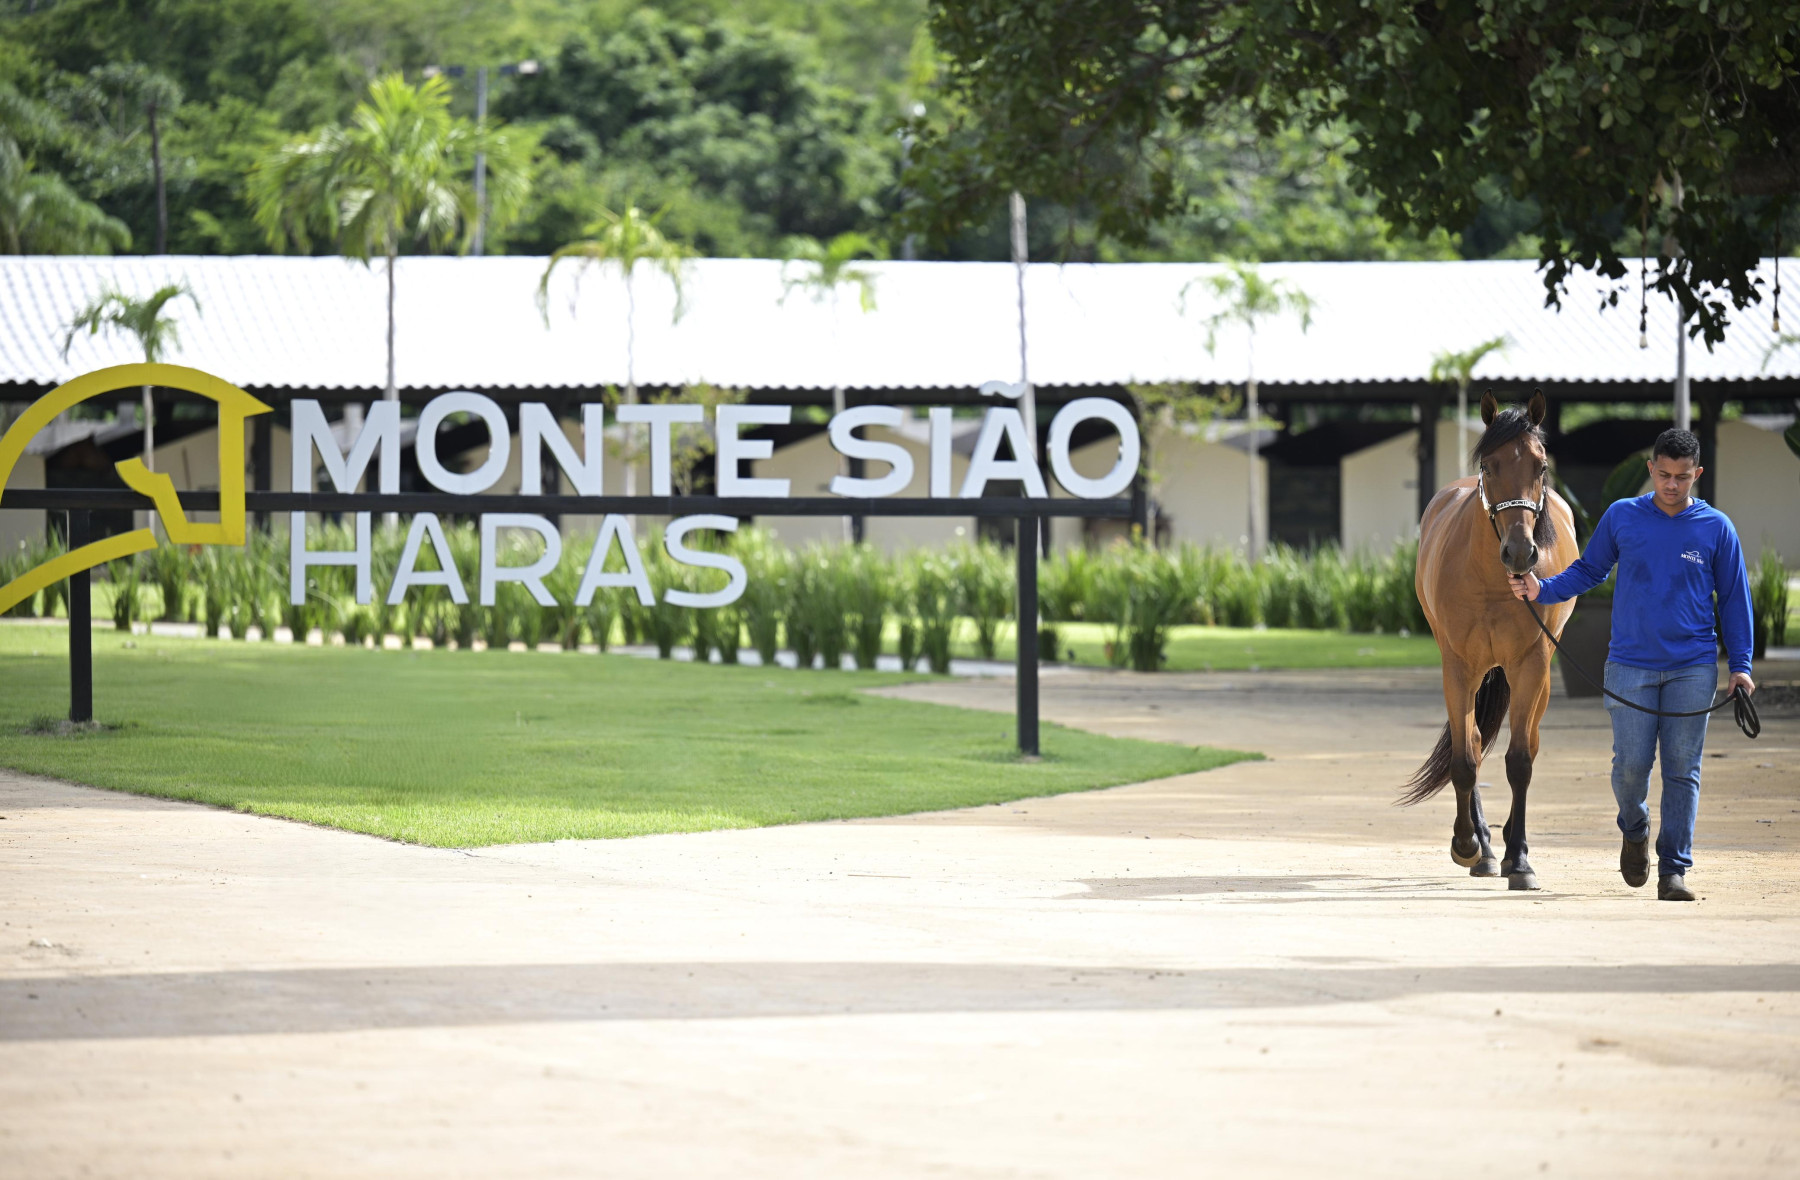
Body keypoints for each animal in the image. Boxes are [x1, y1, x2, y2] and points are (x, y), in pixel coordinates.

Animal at [1401, 391, 1578, 890]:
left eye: (1540, 465)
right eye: (1489, 465)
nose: (1520, 552)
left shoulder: (1530, 665)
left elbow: (1519, 761)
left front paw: (1520, 861)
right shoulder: (1459, 667)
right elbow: (1465, 758)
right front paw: (1467, 845)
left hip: (1537, 676)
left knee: (1527, 745)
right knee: (1476, 743)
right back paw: (1482, 848)